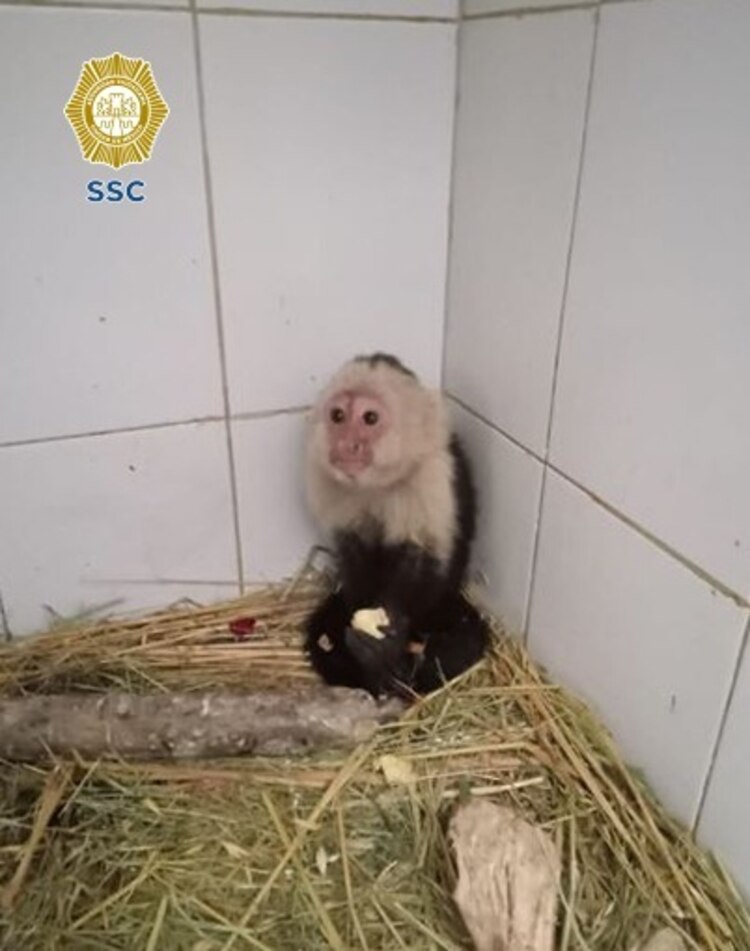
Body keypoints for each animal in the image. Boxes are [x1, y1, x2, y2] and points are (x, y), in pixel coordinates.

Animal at [303, 352, 489, 697]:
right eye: (338, 415)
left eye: (370, 418)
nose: (346, 444)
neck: (380, 484)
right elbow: (354, 558)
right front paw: (371, 652)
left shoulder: (434, 476)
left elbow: (423, 560)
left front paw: (386, 646)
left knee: (462, 641)